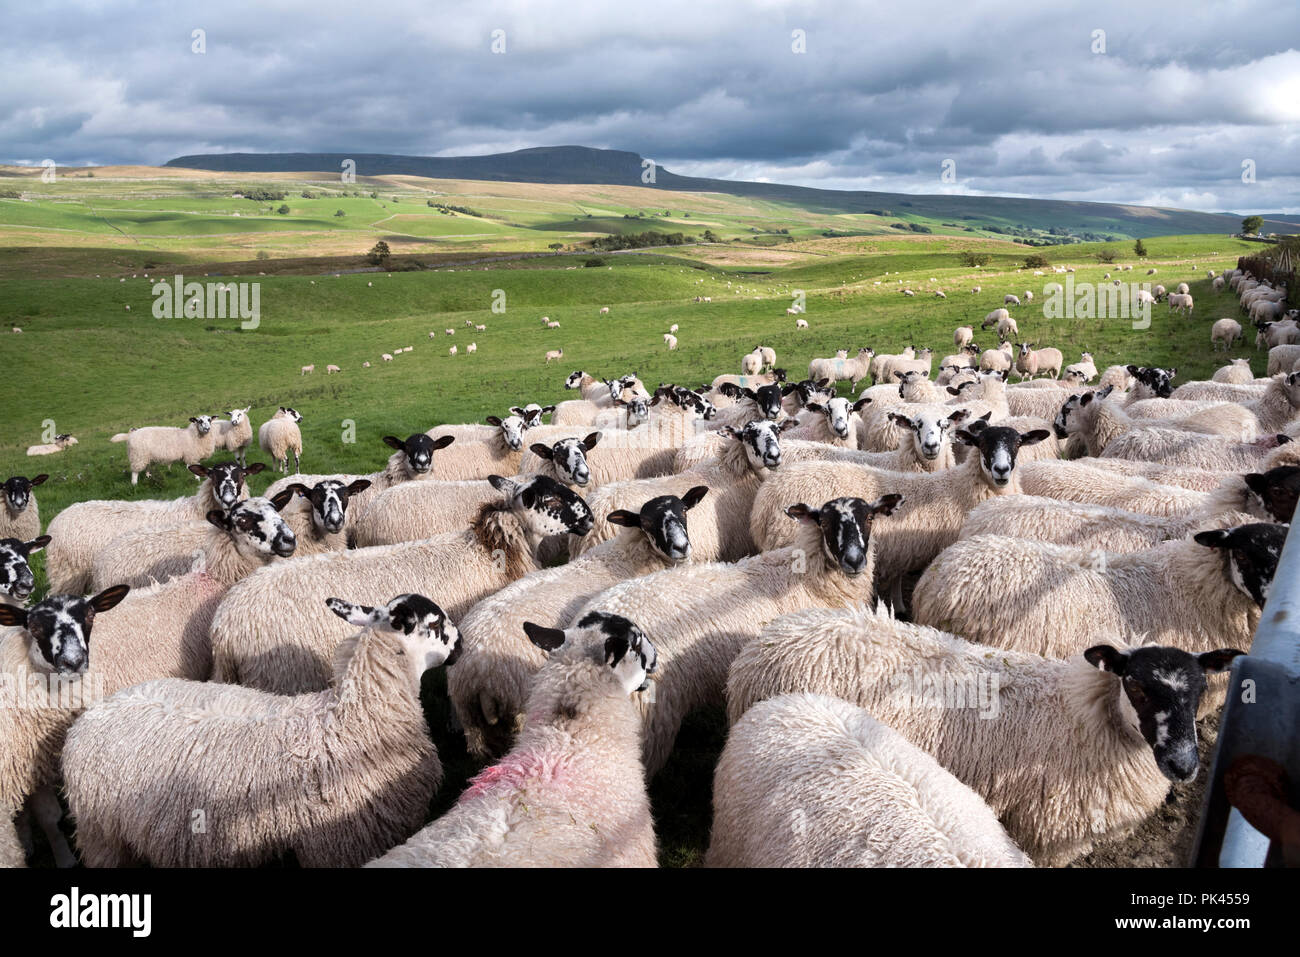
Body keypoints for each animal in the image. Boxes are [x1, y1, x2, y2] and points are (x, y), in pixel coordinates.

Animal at [61, 590, 460, 868]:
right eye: (435, 624)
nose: (462, 645)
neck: (355, 718)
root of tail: (90, 717)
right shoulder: (341, 844)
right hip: (104, 839)